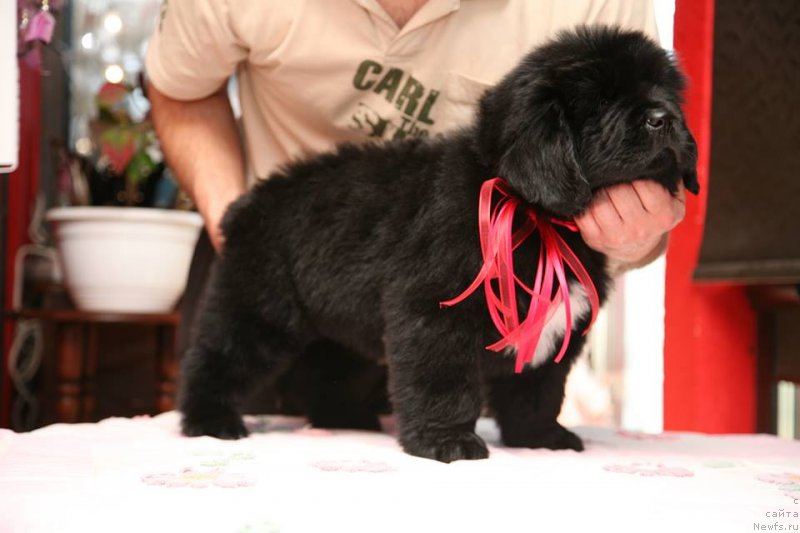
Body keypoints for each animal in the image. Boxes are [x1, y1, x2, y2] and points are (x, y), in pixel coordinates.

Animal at [178, 26, 696, 462]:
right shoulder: (434, 311)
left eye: (662, 91)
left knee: (326, 373)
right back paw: (211, 421)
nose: (663, 118)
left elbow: (537, 390)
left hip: (338, 328)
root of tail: (252, 201)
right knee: (217, 358)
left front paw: (539, 437)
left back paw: (347, 419)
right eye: (602, 100)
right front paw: (445, 442)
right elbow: (443, 382)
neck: (532, 213)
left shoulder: (554, 324)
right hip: (259, 308)